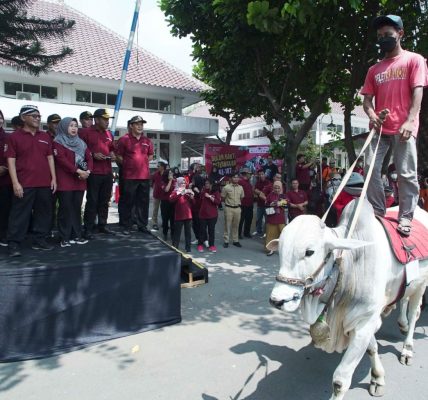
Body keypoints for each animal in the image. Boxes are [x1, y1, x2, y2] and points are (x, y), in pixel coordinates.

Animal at [270, 200, 426, 400]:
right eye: (280, 250)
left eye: (309, 252)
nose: (277, 300)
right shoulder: (362, 321)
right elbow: (372, 348)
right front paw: (377, 377)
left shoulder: (365, 321)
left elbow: (340, 381)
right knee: (404, 299)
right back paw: (402, 323)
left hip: (421, 286)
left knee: (415, 313)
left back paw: (407, 348)